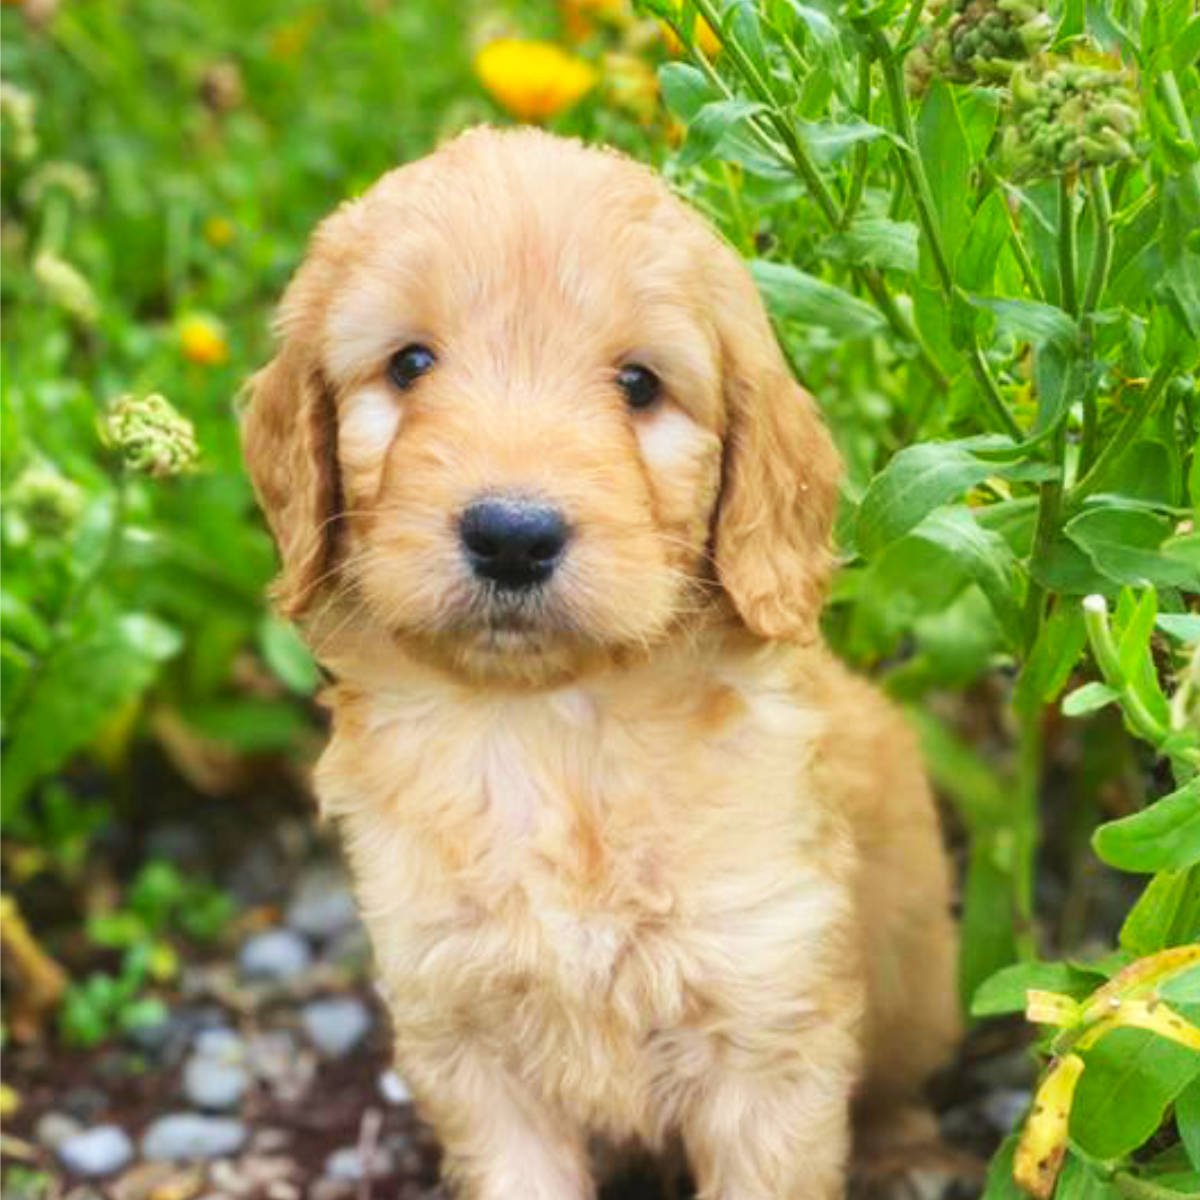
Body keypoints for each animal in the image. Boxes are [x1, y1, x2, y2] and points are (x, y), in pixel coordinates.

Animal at [241, 126, 955, 1195]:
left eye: (639, 385)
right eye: (410, 364)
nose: (511, 534)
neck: (550, 732)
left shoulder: (767, 1022)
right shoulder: (464, 1033)